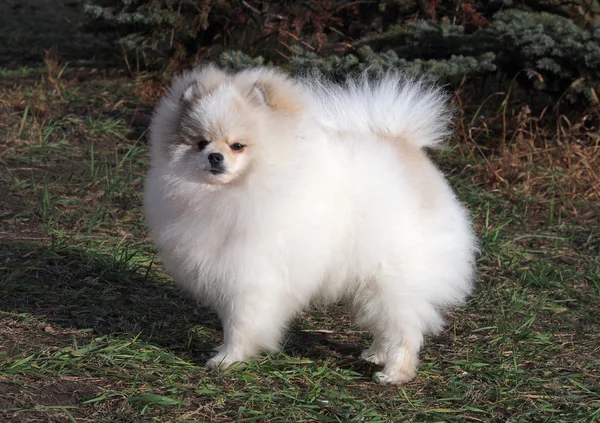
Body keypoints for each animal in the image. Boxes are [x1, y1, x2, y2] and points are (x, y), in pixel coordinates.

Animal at [143, 64, 476, 386]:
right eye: (200, 143)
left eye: (237, 146)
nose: (214, 157)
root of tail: (407, 149)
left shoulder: (251, 276)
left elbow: (240, 324)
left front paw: (228, 359)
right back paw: (376, 354)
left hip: (393, 276)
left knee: (405, 328)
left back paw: (394, 373)